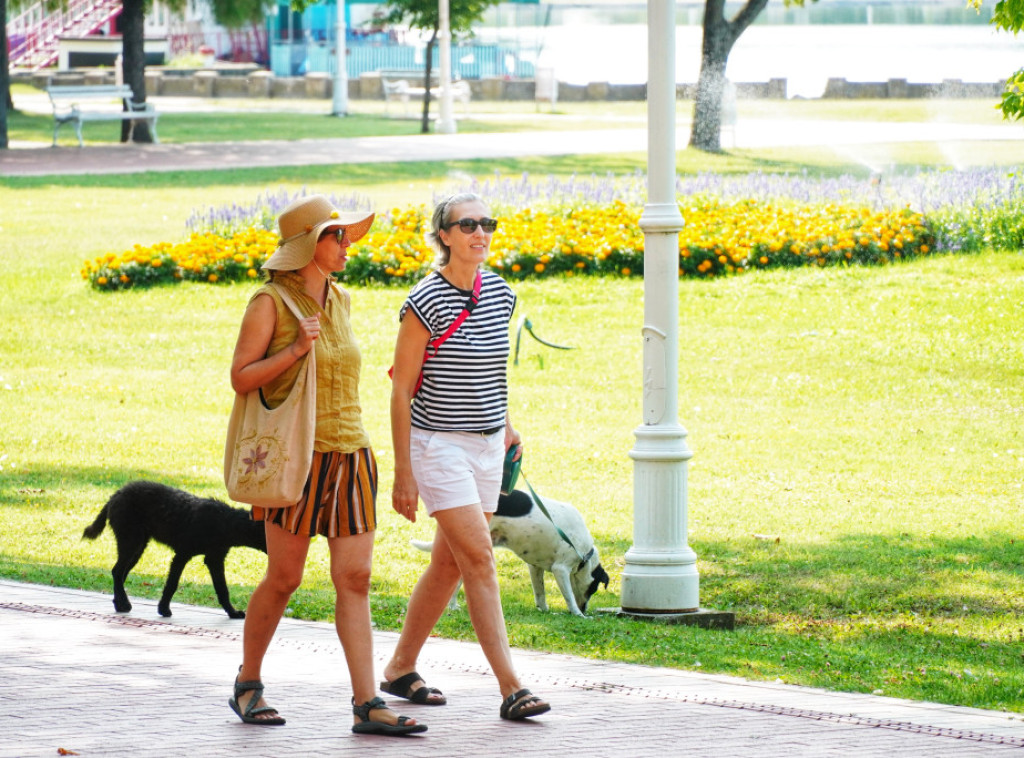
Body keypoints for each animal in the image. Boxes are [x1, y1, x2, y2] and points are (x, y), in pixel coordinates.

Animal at [82, 483, 266, 618]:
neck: (225, 522)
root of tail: (115, 495)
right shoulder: (182, 555)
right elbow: (172, 584)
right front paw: (163, 609)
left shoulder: (214, 559)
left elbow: (222, 589)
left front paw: (232, 612)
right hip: (131, 542)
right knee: (117, 571)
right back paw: (124, 603)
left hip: (137, 547)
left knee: (120, 574)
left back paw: (120, 604)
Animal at [413, 485, 606, 614]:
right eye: (594, 589)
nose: (585, 610)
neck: (585, 555)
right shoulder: (561, 570)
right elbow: (570, 597)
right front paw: (578, 614)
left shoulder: (535, 568)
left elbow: (540, 593)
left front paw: (544, 610)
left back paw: (452, 606)